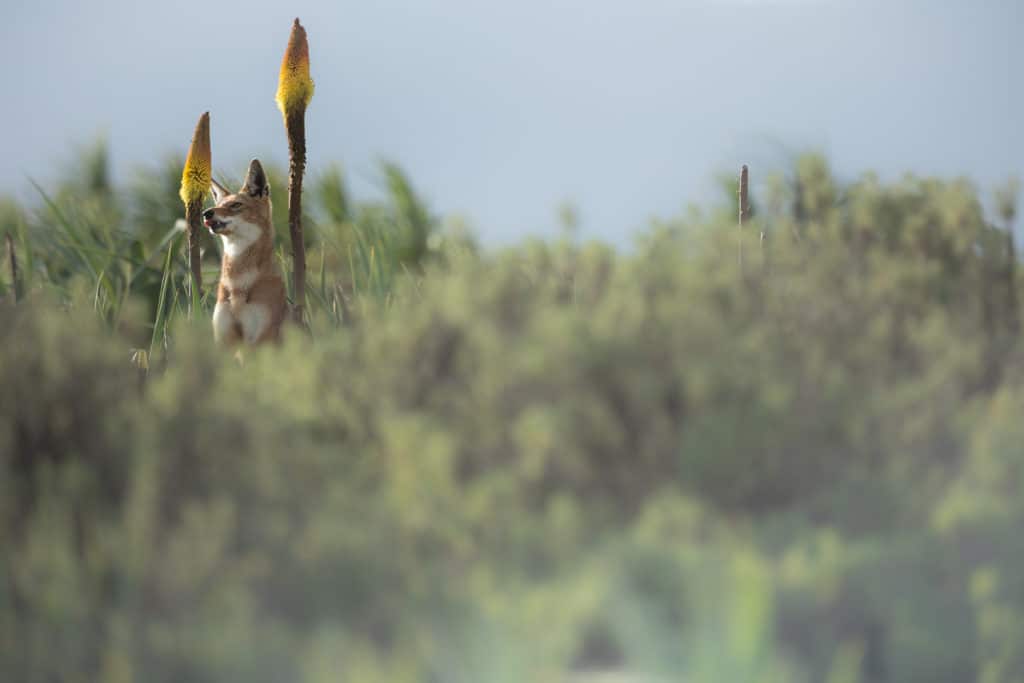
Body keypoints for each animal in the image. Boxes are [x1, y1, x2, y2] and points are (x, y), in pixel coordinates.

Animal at [203, 159, 287, 345]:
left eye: (236, 205)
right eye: (218, 206)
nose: (206, 213)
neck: (238, 285)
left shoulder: (261, 338)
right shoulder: (223, 341)